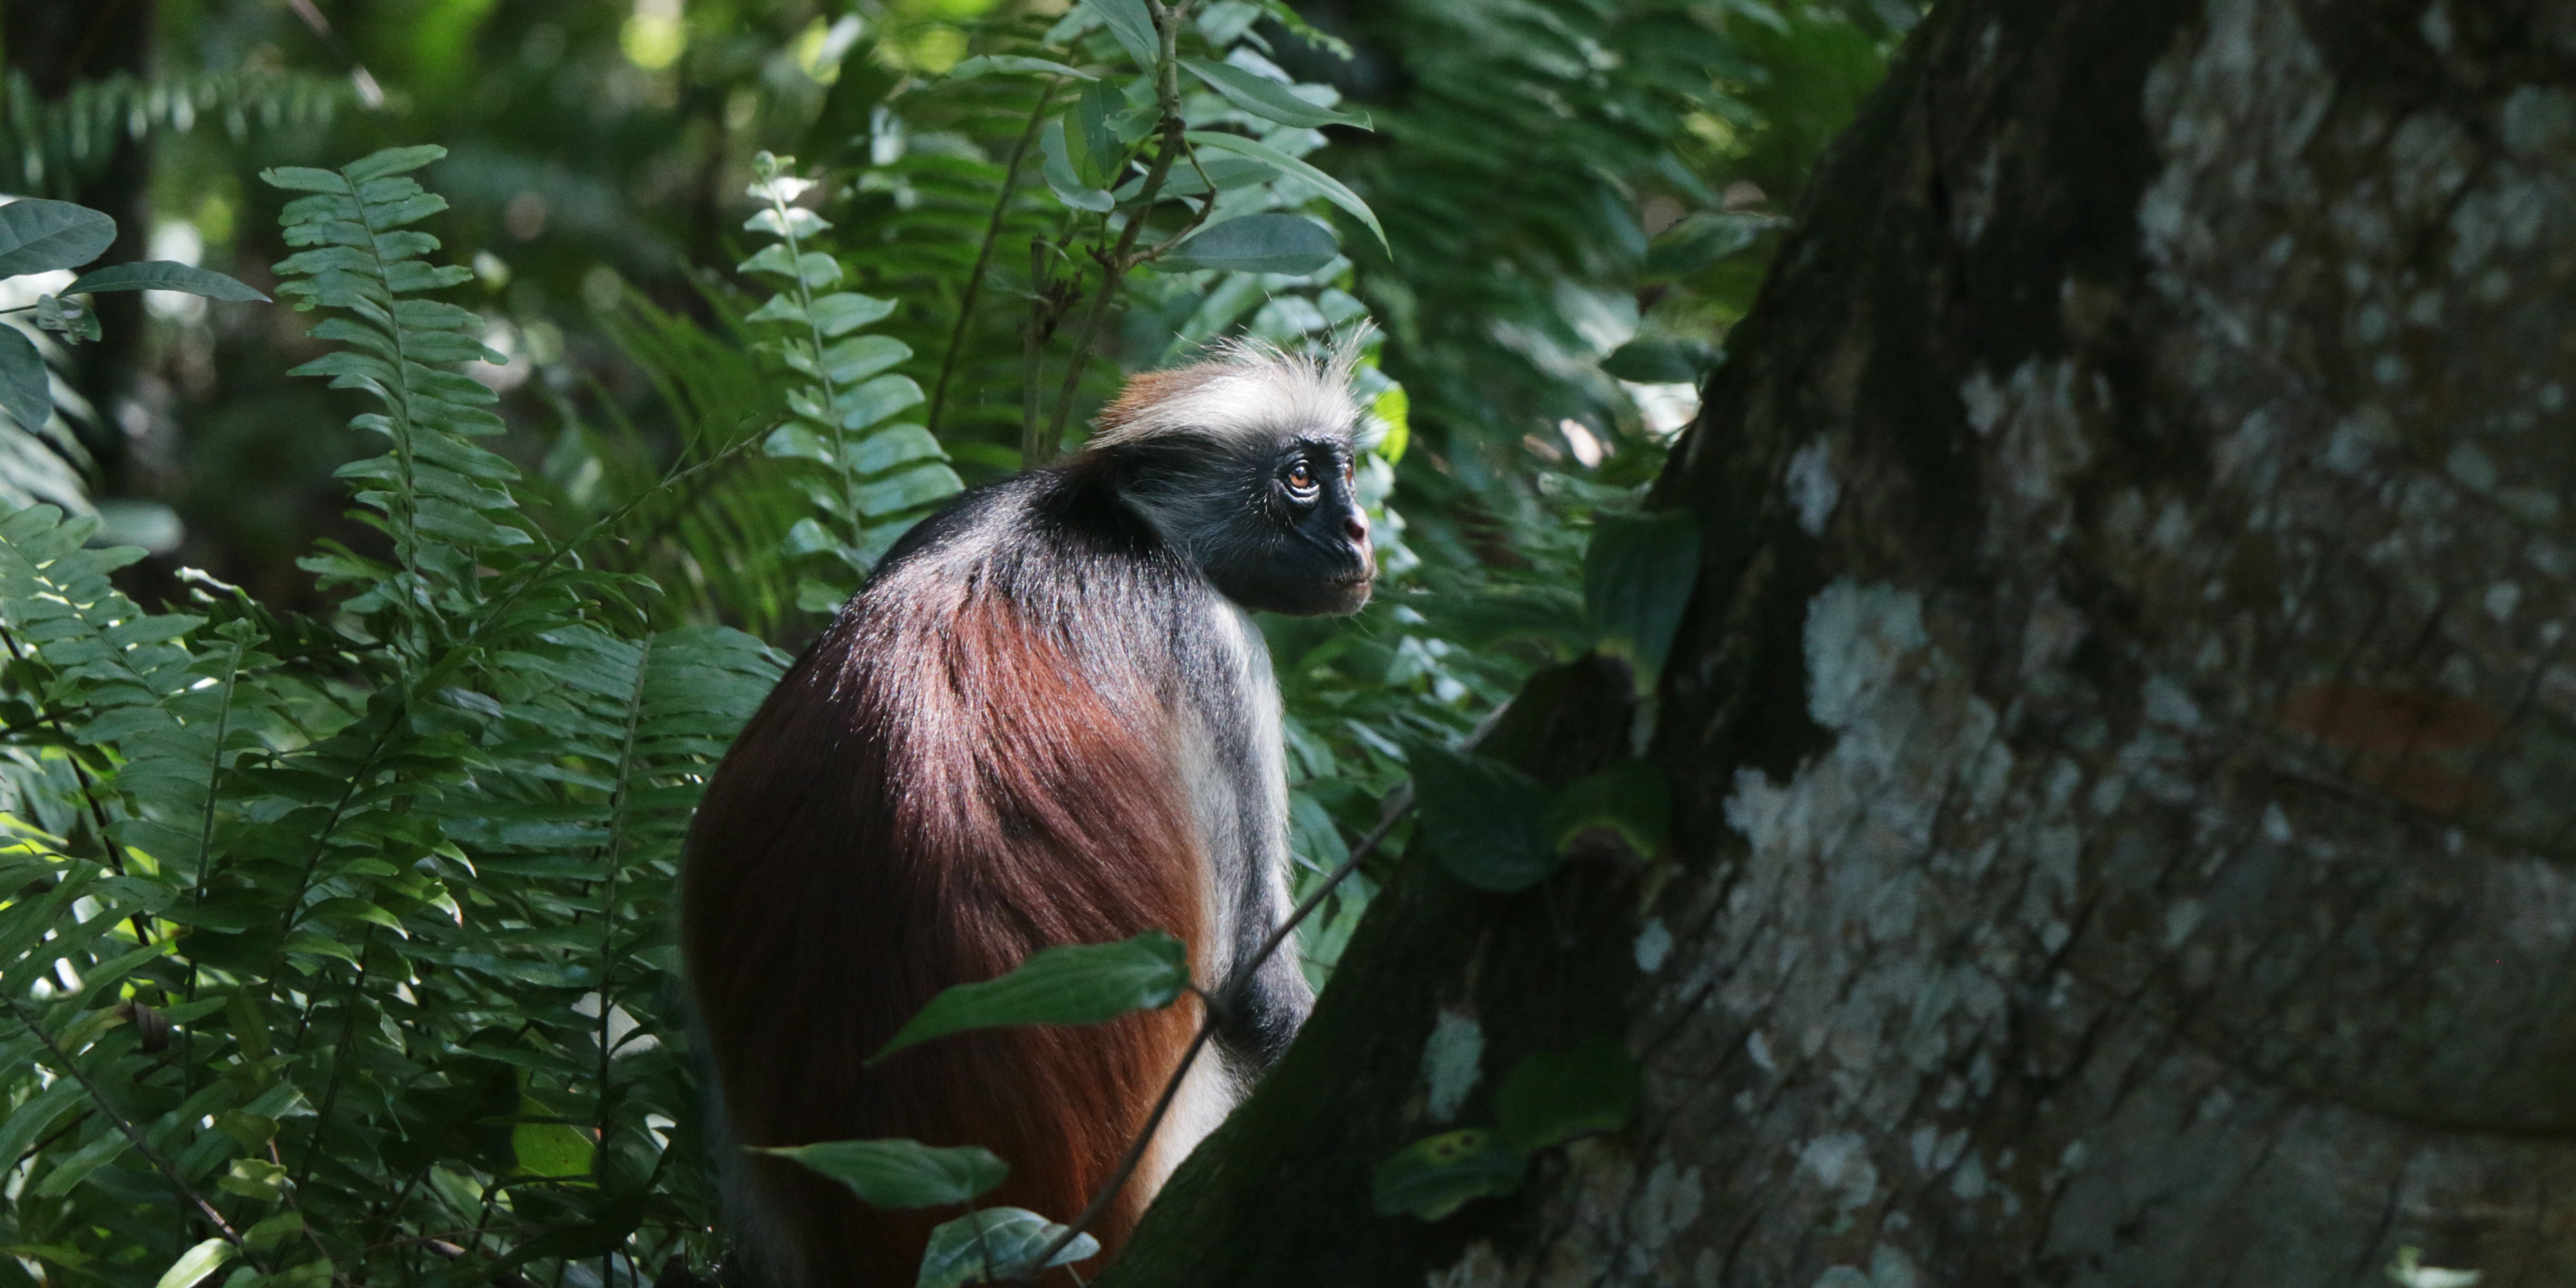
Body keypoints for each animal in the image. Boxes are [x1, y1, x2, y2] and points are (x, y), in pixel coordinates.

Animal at [675, 337, 1381, 1283]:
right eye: (1301, 479)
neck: (1100, 523)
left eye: (1343, 474)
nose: (1357, 529)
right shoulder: (1217, 646)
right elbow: (1253, 993)